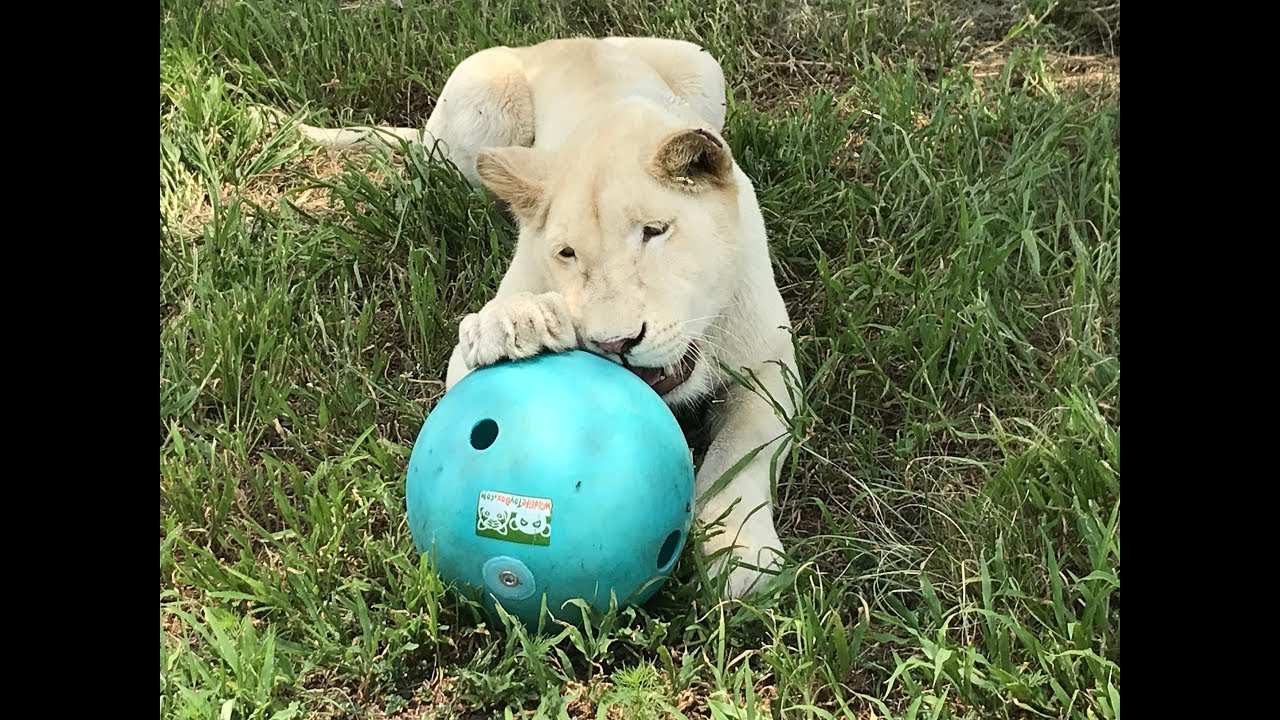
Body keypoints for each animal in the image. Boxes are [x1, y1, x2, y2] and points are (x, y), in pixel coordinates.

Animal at [292, 37, 800, 600]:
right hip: (481, 110)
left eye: (655, 231)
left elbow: (745, 452)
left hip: (704, 69)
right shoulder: (465, 354)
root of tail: (571, 41)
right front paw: (522, 322)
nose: (617, 344)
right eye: (567, 254)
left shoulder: (771, 364)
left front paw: (740, 552)